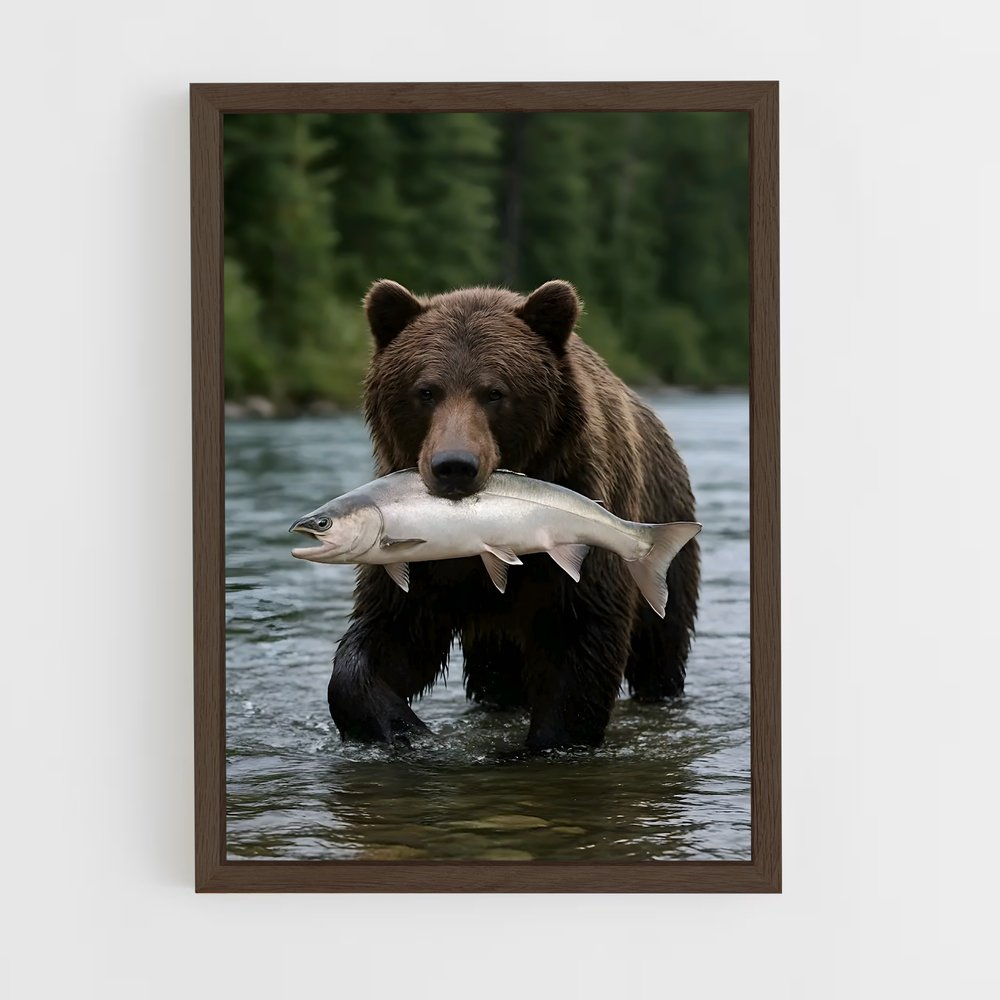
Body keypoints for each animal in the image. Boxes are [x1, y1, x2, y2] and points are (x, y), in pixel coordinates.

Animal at [327, 279, 700, 751]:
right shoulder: (423, 564)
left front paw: (546, 742)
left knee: (660, 645)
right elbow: (389, 633)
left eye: (495, 392)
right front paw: (400, 724)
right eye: (426, 391)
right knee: (495, 674)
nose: (454, 465)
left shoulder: (582, 517)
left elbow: (578, 639)